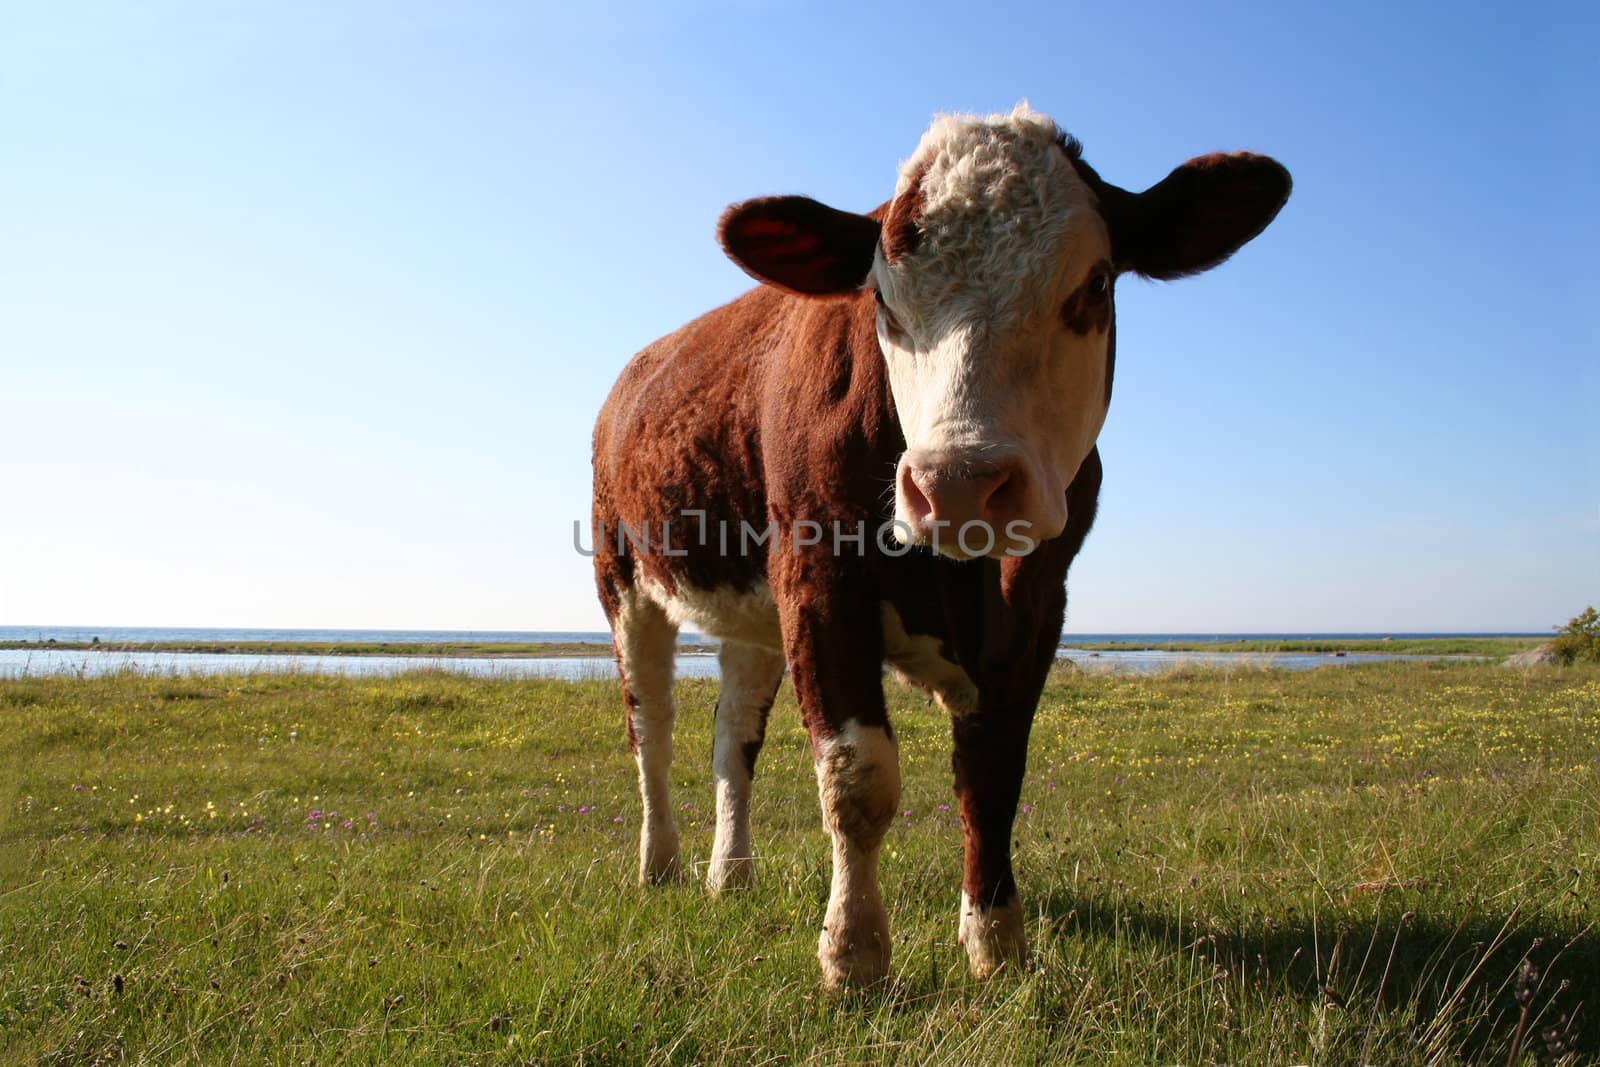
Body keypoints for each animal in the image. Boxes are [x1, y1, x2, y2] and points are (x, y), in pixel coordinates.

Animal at [588, 103, 1286, 991]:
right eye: (882, 301)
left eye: (1095, 285)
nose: (958, 483)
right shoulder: (818, 575)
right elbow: (857, 775)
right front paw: (853, 954)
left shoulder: (1040, 594)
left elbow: (992, 772)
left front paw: (996, 941)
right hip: (622, 574)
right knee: (651, 724)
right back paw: (662, 864)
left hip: (753, 612)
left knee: (733, 735)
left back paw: (730, 874)